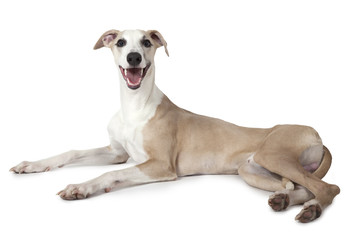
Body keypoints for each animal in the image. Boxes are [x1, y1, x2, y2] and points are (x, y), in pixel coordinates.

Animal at [9, 29, 340, 222]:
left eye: (146, 42)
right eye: (120, 42)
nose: (133, 57)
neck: (135, 107)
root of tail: (317, 135)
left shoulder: (160, 166)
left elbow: (111, 173)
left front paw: (80, 187)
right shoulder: (117, 152)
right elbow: (72, 152)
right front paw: (30, 165)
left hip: (272, 155)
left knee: (328, 187)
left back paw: (312, 209)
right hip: (252, 170)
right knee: (297, 186)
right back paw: (284, 199)